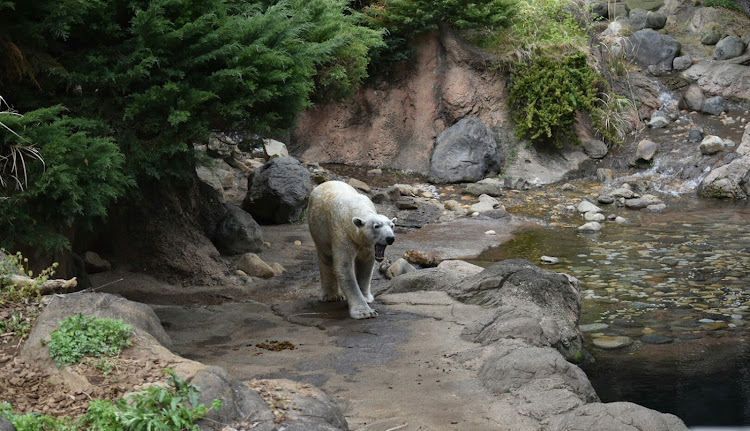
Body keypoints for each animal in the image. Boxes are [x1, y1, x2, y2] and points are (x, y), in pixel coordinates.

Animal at [306, 181, 400, 318]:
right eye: (376, 226)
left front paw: (366, 297)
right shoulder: (343, 234)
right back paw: (330, 296)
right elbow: (344, 268)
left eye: (392, 225)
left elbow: (366, 264)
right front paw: (365, 312)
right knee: (326, 256)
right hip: (317, 227)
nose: (390, 238)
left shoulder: (367, 245)